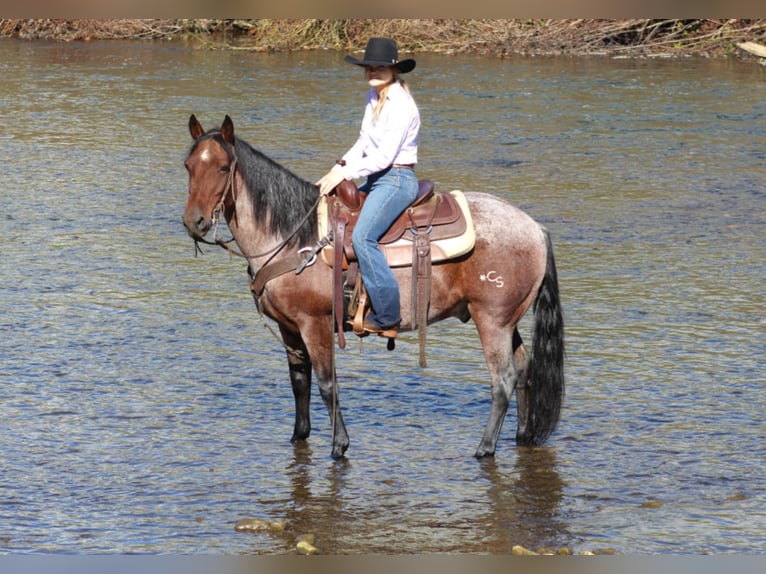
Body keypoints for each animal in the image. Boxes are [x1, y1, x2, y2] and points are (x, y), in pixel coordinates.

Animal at [180, 115, 564, 462]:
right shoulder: (289, 327)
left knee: (503, 381)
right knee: (524, 371)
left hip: (492, 320)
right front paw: (299, 436)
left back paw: (484, 449)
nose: (193, 221)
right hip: (506, 321)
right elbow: (299, 383)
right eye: (188, 165)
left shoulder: (315, 323)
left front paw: (339, 446)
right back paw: (522, 437)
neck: (294, 236)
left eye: (223, 167)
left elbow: (327, 384)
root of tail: (535, 228)